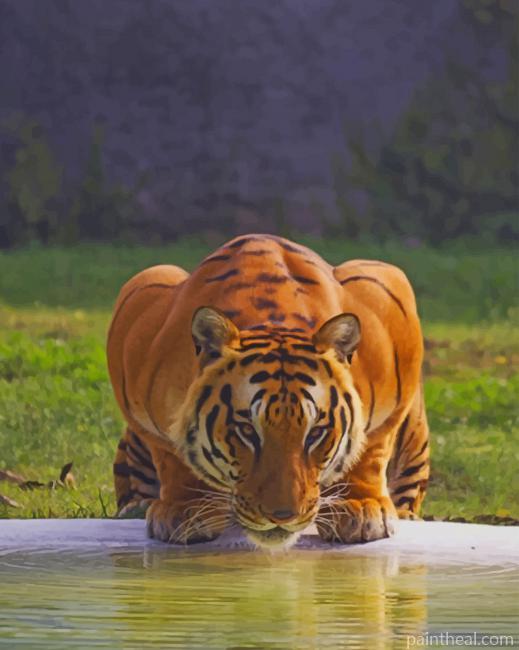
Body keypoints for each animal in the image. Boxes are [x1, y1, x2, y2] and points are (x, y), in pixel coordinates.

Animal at [107, 234, 429, 548]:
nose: (282, 516)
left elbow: (371, 447)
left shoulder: (389, 296)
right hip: (156, 274)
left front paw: (361, 508)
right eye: (247, 431)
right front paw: (185, 510)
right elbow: (171, 454)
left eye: (316, 433)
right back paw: (137, 507)